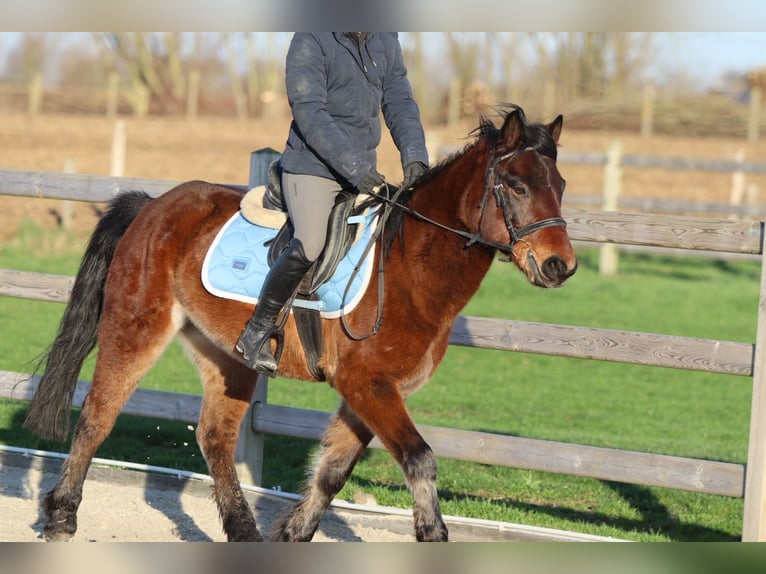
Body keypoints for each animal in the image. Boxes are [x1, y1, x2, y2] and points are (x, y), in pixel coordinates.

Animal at [24, 104, 577, 542]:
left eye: (561, 186)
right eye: (516, 185)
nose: (560, 267)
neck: (407, 269)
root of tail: (152, 206)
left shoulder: (370, 391)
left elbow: (333, 472)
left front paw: (292, 534)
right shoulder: (368, 384)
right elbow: (419, 460)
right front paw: (432, 533)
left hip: (226, 355)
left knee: (215, 437)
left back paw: (243, 533)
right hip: (136, 329)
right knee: (98, 415)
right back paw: (62, 518)